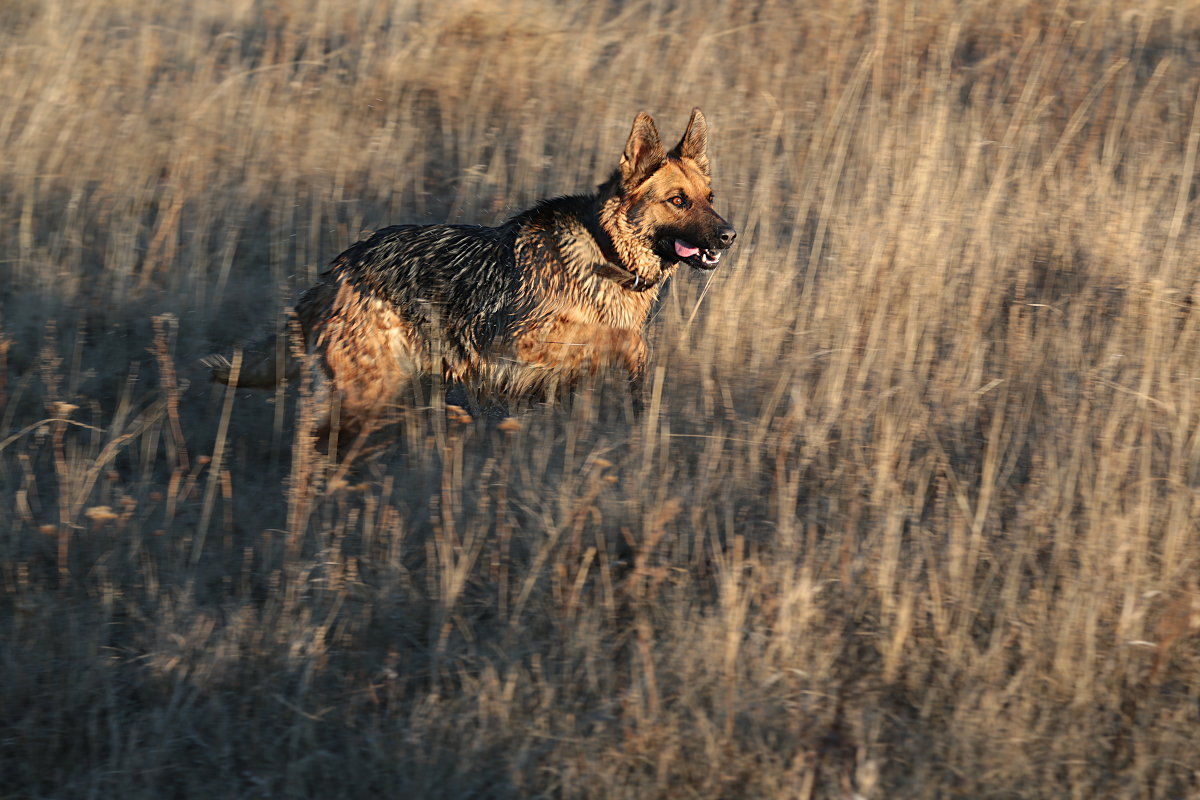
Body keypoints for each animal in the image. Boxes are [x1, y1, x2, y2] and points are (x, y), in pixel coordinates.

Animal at [204, 107, 729, 434]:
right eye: (677, 201)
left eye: (709, 198)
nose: (730, 236)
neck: (605, 253)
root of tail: (342, 264)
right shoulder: (521, 342)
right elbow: (624, 339)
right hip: (365, 389)